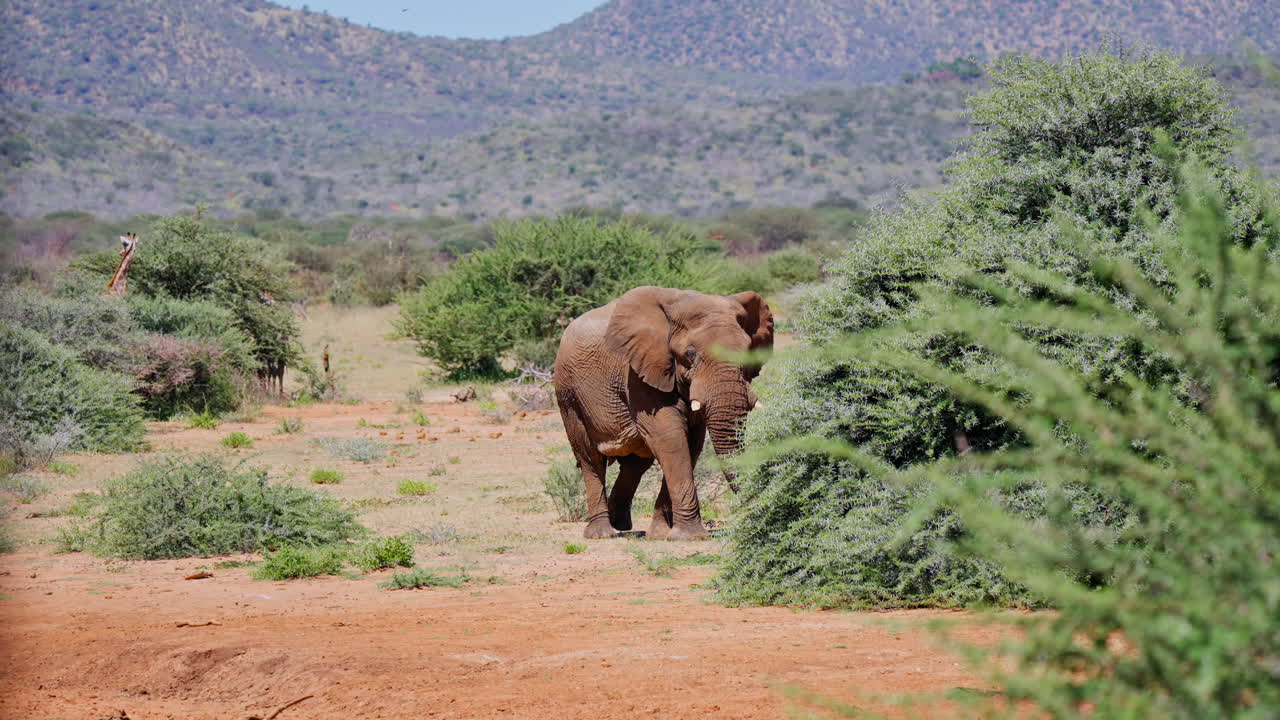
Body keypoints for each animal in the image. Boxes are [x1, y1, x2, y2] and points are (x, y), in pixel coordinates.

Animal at [552, 286, 773, 540]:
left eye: (748, 351)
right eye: (690, 353)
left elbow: (690, 444)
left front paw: (661, 534)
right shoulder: (637, 373)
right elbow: (670, 438)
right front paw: (689, 537)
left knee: (636, 463)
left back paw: (622, 525)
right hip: (568, 395)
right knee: (591, 459)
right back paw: (602, 533)